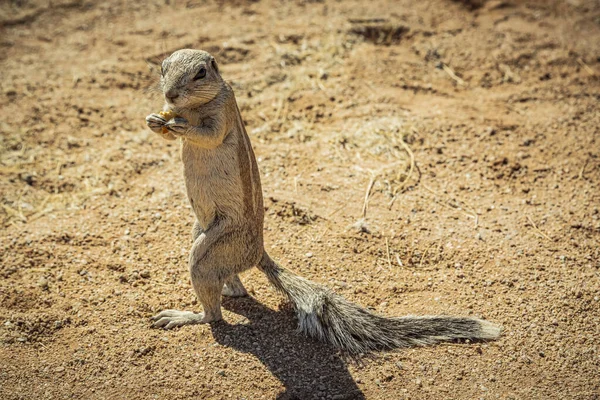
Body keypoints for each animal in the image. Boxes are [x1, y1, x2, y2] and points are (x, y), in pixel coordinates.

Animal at [143, 50, 500, 356]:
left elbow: (208, 134)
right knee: (233, 281)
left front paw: (179, 125)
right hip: (199, 228)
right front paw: (155, 120)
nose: (170, 96)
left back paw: (186, 315)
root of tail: (259, 252)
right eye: (162, 68)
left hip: (207, 251)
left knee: (213, 313)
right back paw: (230, 291)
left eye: (200, 73)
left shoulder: (222, 115)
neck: (194, 107)